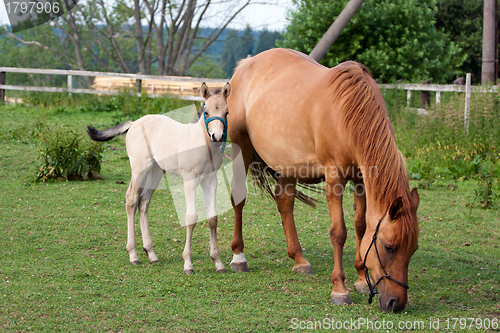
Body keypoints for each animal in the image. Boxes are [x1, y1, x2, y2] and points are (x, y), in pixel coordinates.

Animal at [87, 82, 230, 272]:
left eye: (226, 112)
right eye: (206, 112)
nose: (217, 137)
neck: (203, 144)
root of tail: (134, 123)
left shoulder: (210, 180)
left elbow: (213, 218)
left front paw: (218, 262)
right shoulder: (190, 179)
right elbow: (191, 218)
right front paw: (187, 264)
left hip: (156, 173)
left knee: (143, 202)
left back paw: (151, 254)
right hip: (140, 170)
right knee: (131, 199)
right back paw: (133, 255)